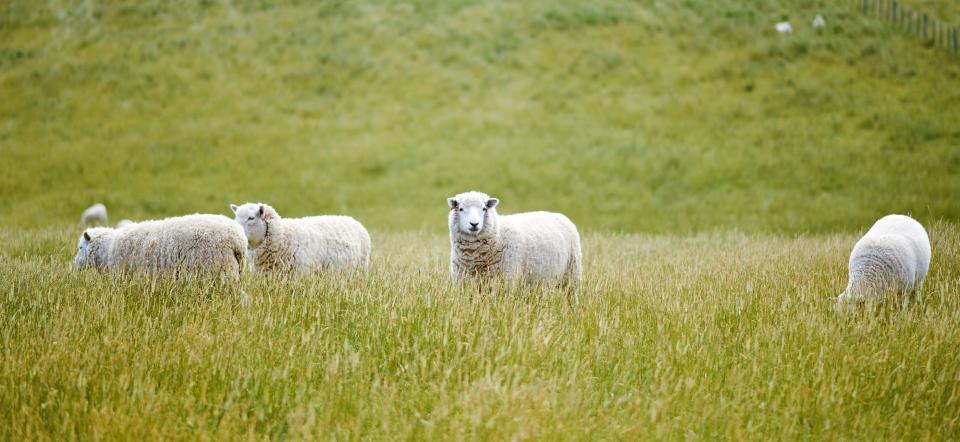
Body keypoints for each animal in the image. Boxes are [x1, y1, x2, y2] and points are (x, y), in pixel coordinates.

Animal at [446, 190, 580, 300]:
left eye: (484, 208)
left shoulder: (505, 283)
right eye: (461, 209)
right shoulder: (465, 285)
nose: (474, 224)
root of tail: (559, 215)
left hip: (571, 275)